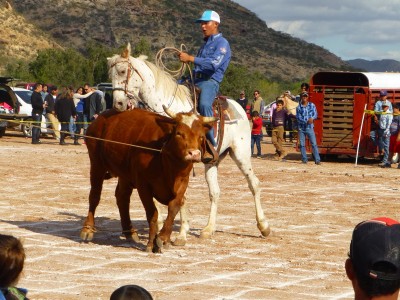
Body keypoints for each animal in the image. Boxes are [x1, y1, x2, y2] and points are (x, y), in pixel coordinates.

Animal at [80, 106, 216, 252]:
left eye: (201, 136)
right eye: (179, 133)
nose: (194, 154)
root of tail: (99, 119)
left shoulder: (182, 184)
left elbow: (173, 208)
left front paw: (163, 238)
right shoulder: (143, 185)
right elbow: (153, 213)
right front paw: (151, 243)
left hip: (125, 175)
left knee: (122, 197)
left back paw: (129, 231)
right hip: (97, 164)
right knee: (95, 195)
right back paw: (87, 229)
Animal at [107, 43, 268, 243]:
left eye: (122, 71)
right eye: (110, 75)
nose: (118, 104)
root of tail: (238, 107)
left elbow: (180, 195)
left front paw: (182, 233)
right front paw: (161, 223)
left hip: (241, 154)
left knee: (254, 184)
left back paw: (264, 226)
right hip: (212, 161)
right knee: (215, 192)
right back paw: (208, 228)